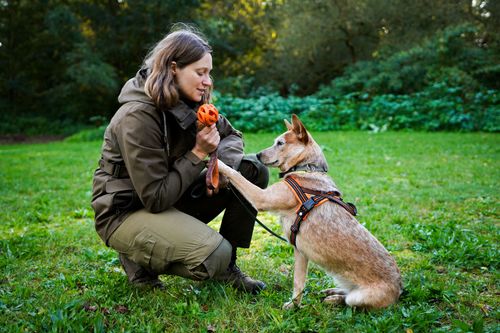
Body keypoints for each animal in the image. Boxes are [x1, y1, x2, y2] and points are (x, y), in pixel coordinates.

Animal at [218, 114, 402, 308]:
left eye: (280, 143)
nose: (258, 155)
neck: (306, 168)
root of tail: (400, 289)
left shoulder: (261, 198)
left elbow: (235, 174)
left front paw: (215, 160)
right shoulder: (300, 252)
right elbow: (299, 282)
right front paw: (295, 305)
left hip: (357, 298)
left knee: (348, 301)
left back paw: (334, 299)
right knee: (345, 291)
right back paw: (332, 292)